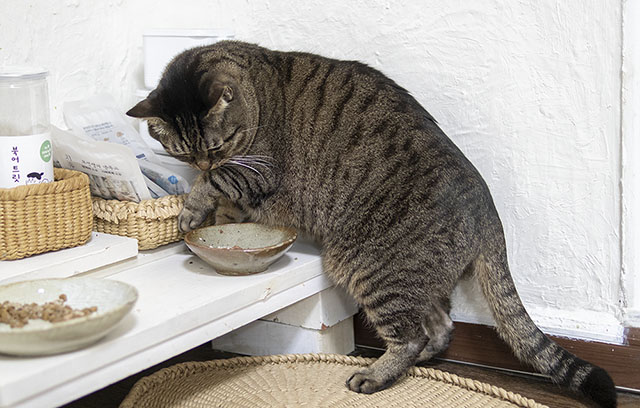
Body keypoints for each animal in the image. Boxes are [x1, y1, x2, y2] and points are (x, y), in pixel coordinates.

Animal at [129, 39, 616, 406]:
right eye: (181, 151)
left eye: (216, 145)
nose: (203, 160)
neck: (257, 96)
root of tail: (487, 208)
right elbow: (225, 200)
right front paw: (216, 215)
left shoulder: (257, 169)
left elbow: (216, 183)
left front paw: (191, 208)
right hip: (411, 279)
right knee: (440, 326)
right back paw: (419, 363)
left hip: (368, 267)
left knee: (412, 335)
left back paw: (376, 375)